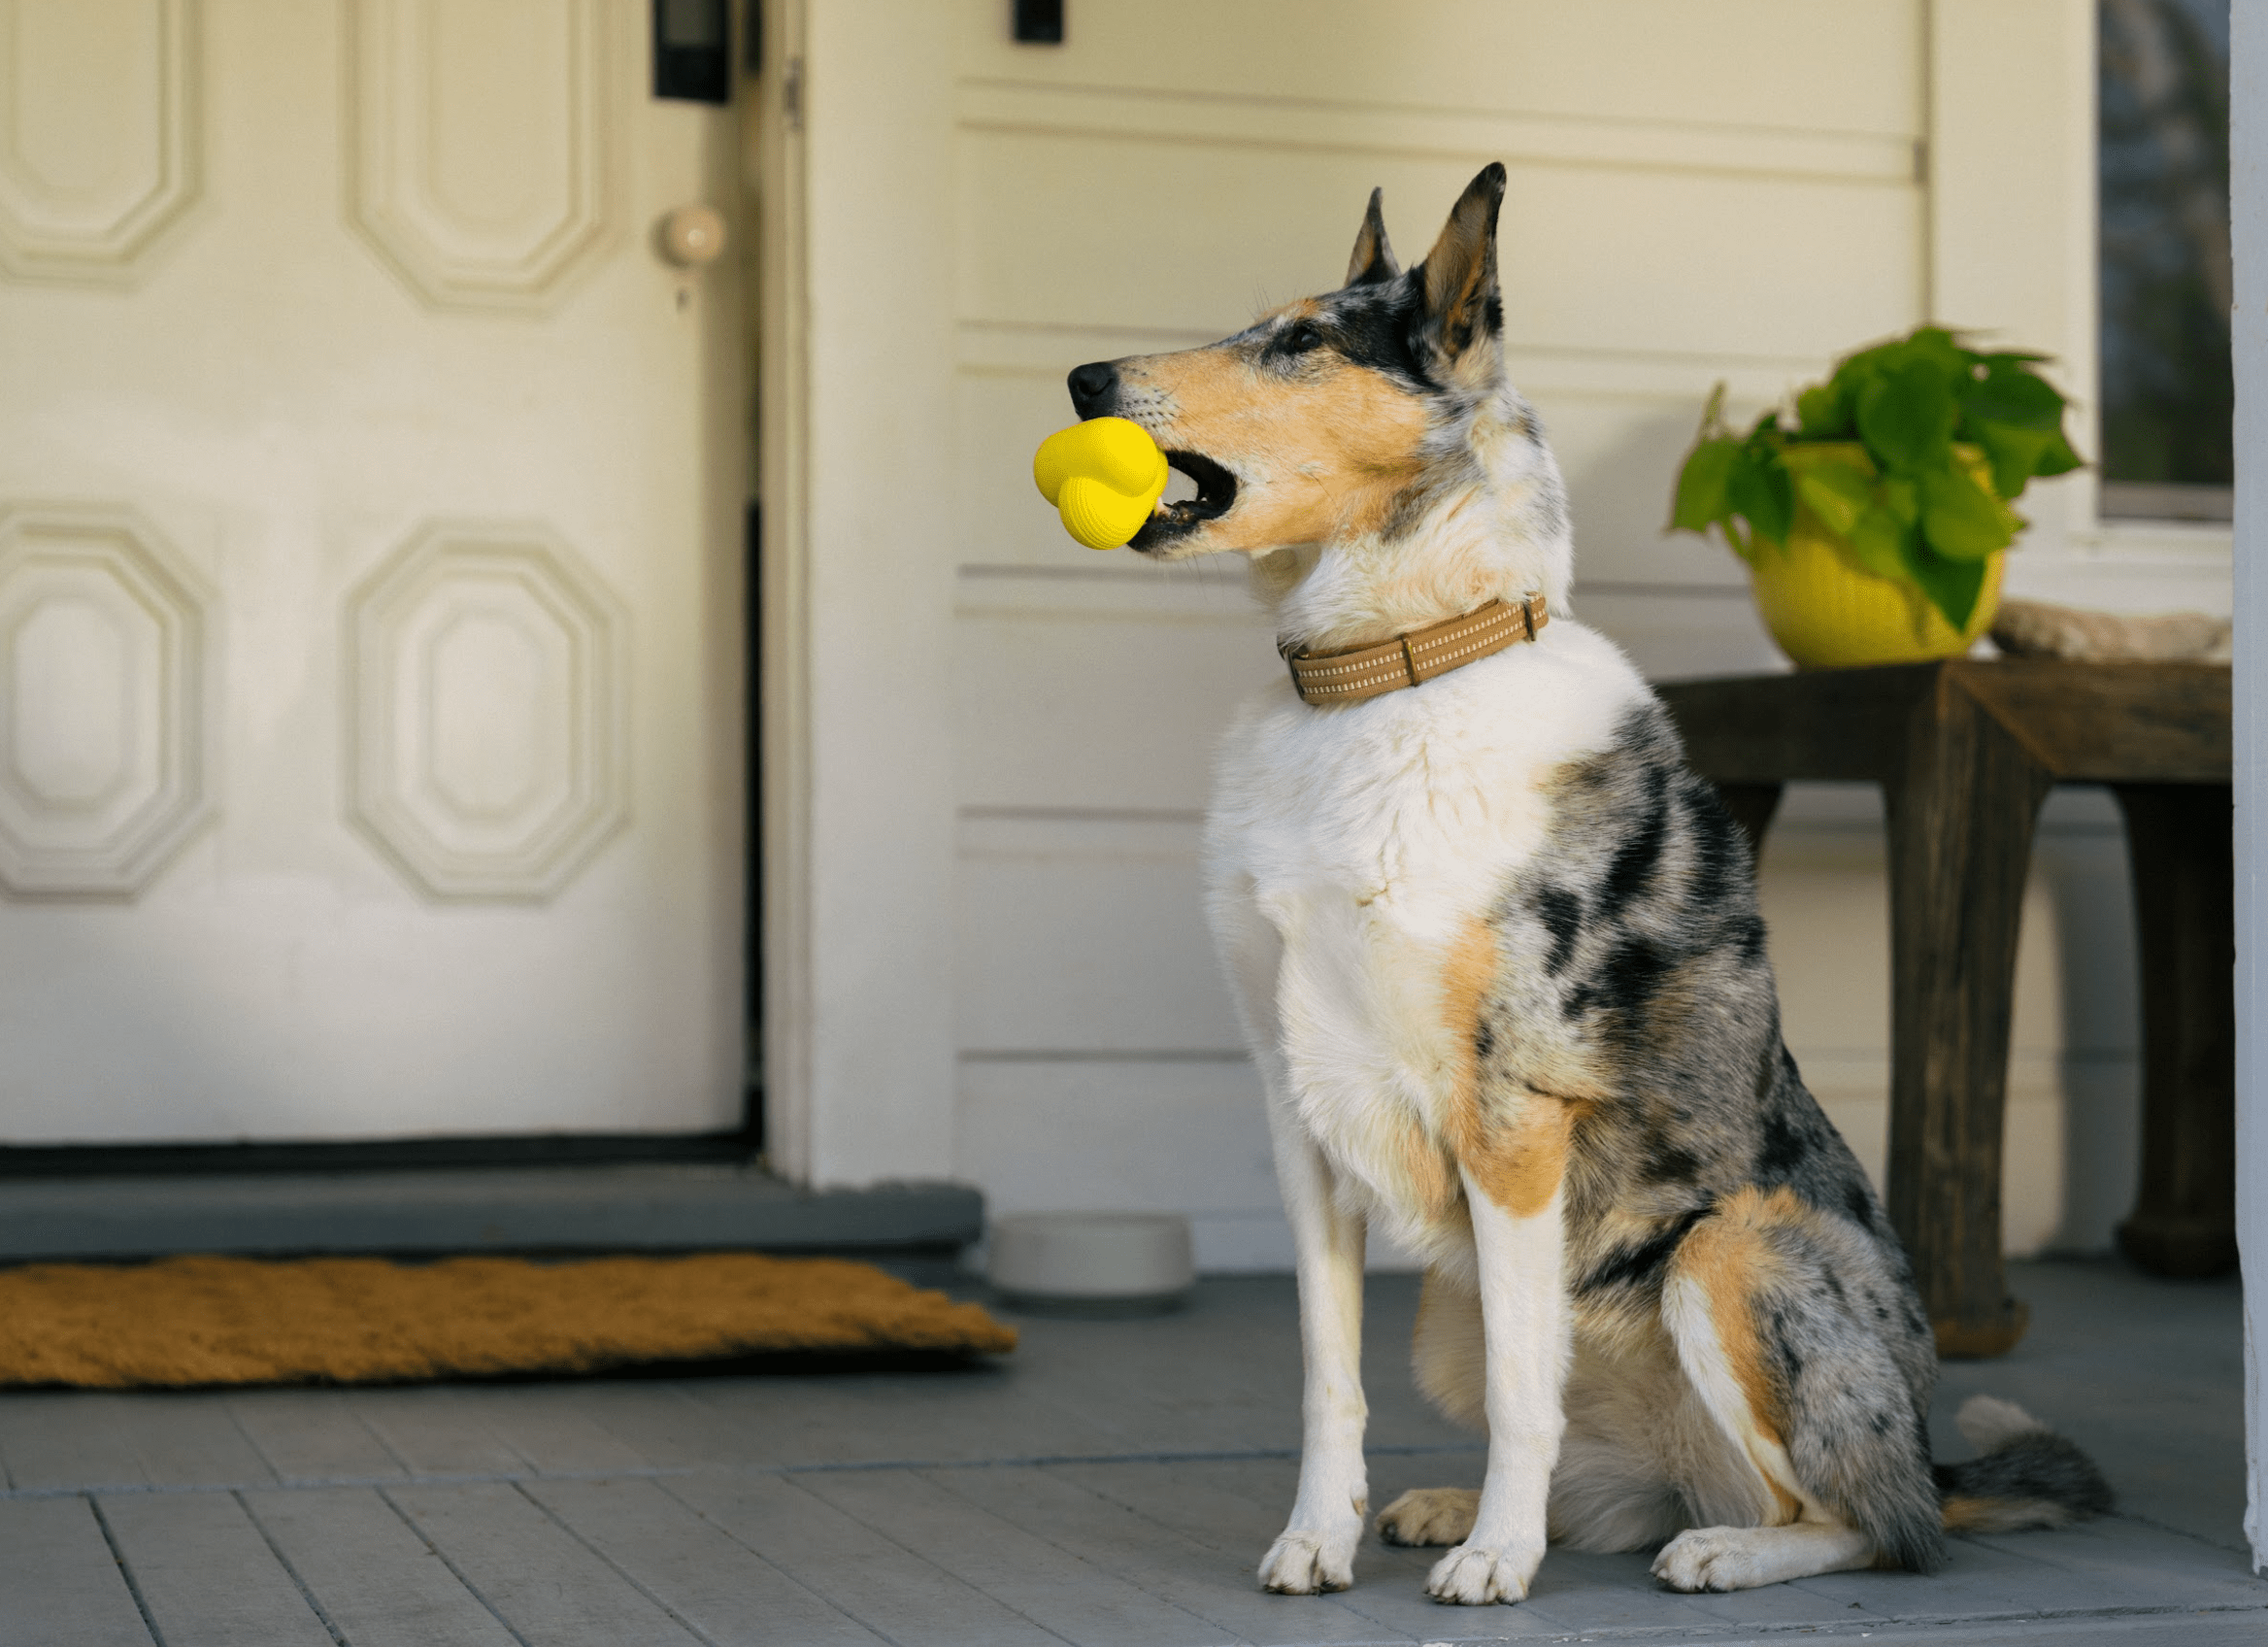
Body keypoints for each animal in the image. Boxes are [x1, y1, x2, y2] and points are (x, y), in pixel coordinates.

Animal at [1061, 160, 2104, 1605]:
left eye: (1303, 341)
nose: (1081, 380)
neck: (1389, 678)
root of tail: (1928, 1443)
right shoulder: (1297, 1114)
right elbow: (1331, 1374)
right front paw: (1318, 1540)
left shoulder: (1511, 1115)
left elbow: (1523, 1380)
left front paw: (1498, 1564)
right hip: (1448, 1310)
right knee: (1630, 1486)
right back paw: (1478, 1507)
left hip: (1731, 1251)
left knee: (1870, 1524)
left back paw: (1711, 1546)